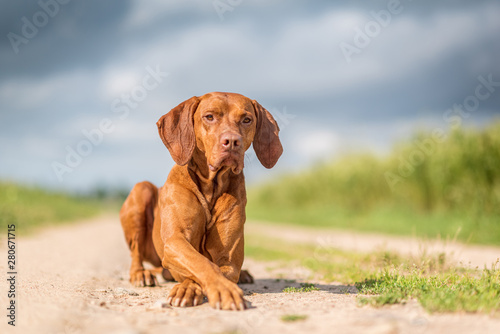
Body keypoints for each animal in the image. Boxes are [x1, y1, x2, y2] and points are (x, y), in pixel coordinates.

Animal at [117, 92, 282, 310]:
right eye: (209, 117)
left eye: (247, 120)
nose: (232, 141)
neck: (210, 187)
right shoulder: (175, 241)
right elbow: (202, 263)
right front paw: (219, 290)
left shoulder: (229, 258)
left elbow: (214, 267)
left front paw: (196, 288)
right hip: (141, 190)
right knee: (136, 253)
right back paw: (140, 274)